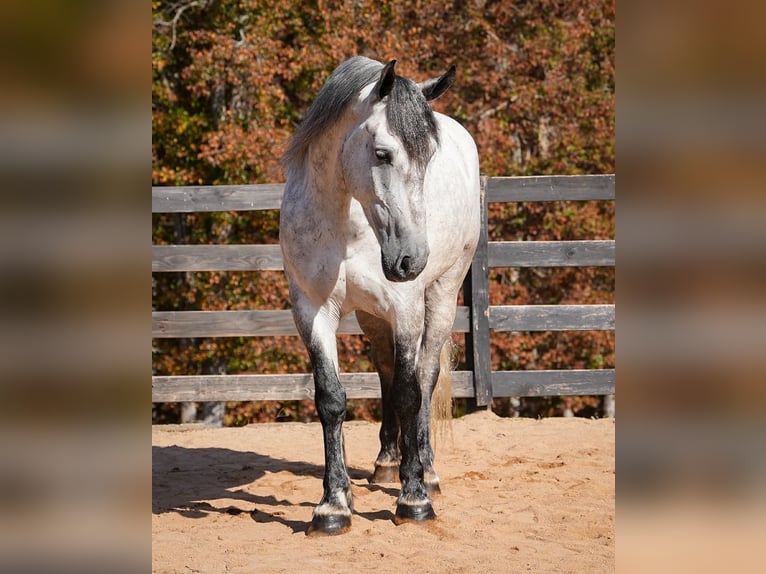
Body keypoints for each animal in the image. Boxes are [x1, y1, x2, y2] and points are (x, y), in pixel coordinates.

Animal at [279, 56, 480, 536]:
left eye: (428, 158)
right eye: (383, 154)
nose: (412, 259)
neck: (346, 225)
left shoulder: (405, 310)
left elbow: (411, 393)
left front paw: (414, 499)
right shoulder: (311, 311)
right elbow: (331, 399)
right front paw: (333, 504)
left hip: (441, 299)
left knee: (423, 376)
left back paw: (425, 470)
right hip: (372, 318)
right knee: (387, 371)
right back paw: (388, 462)